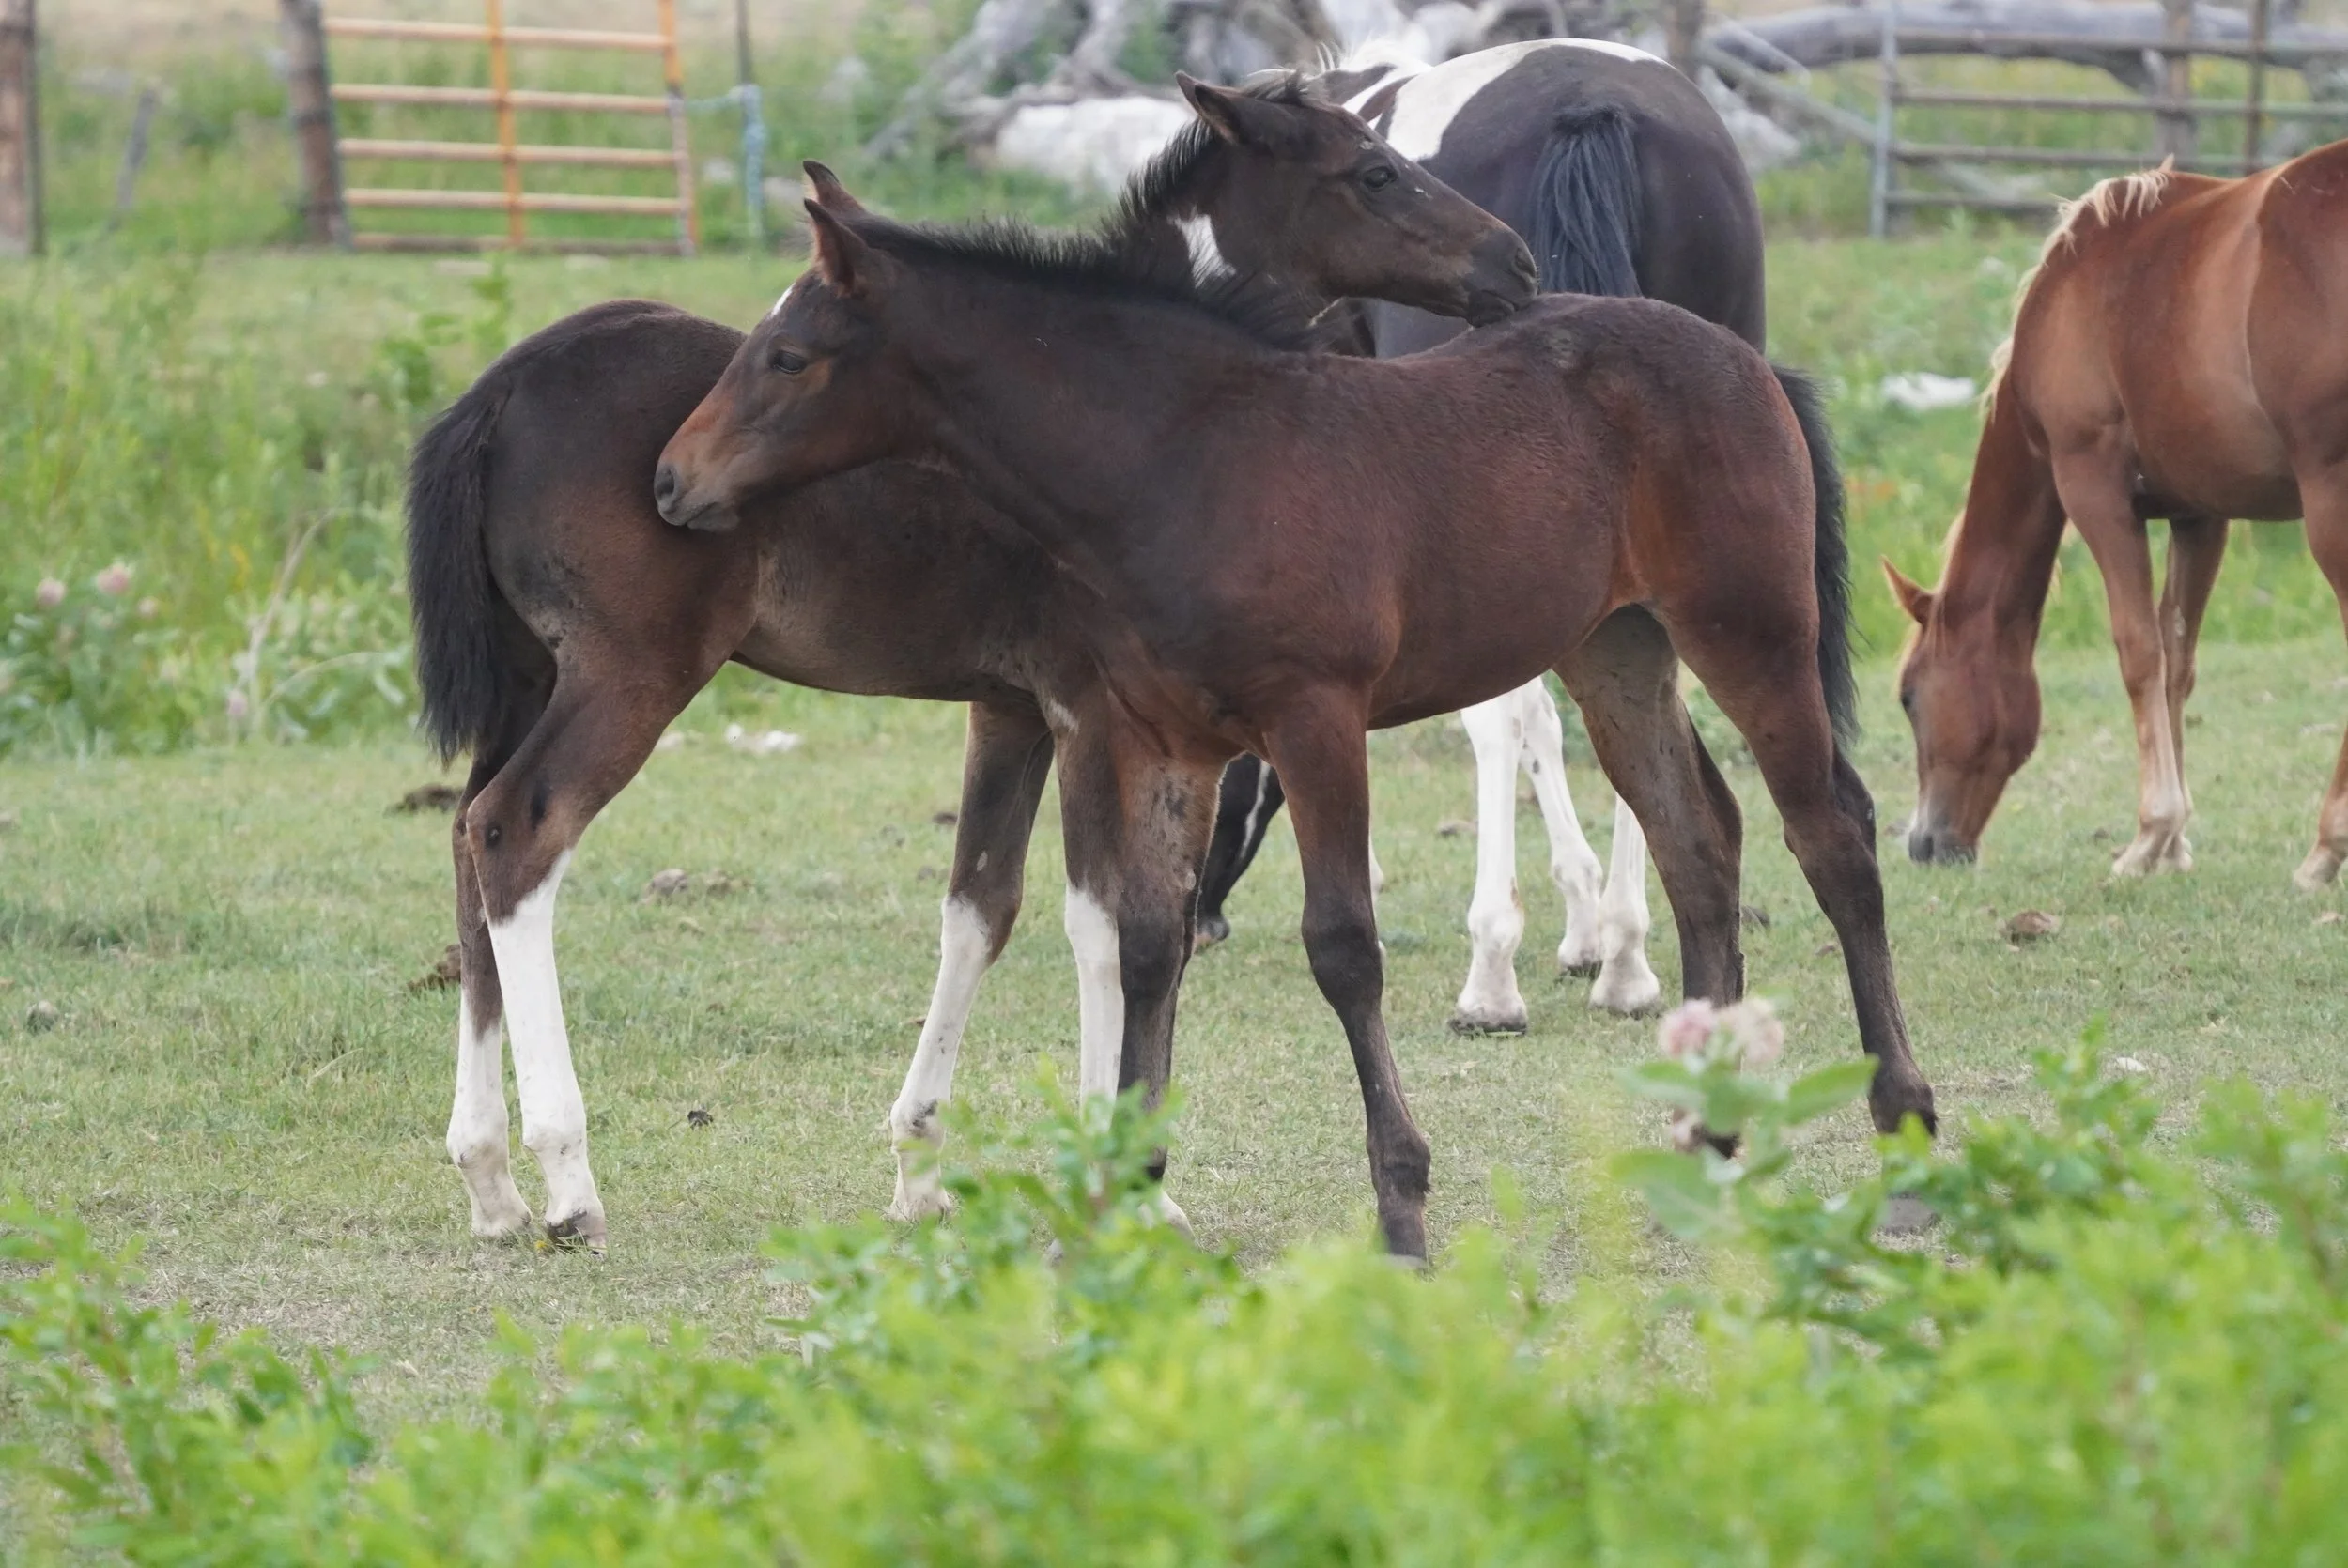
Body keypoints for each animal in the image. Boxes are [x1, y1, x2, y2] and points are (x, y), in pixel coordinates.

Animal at [408, 77, 1535, 1251]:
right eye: (1375, 171)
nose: (1513, 262)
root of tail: (508, 382)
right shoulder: (1095, 713)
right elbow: (1111, 922)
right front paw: (1129, 1171)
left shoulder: (1012, 710)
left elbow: (982, 907)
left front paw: (923, 1166)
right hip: (628, 676)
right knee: (519, 832)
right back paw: (565, 1174)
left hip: (531, 679)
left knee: (467, 837)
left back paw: (488, 1176)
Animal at [656, 185, 1937, 1258]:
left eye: (787, 354)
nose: (671, 481)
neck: (1186, 460)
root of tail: (1749, 360)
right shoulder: (1164, 741)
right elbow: (1147, 943)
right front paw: (1134, 1183)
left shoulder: (1314, 721)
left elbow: (1343, 947)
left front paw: (1402, 1203)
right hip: (1615, 649)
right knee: (1697, 838)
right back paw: (1706, 1142)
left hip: (1750, 630)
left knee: (1832, 835)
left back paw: (1905, 1131)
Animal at [1194, 37, 1776, 1038]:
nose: (1203, 917)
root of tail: (1592, 103)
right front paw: (1591, 930)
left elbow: (1516, 716)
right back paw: (1628, 960)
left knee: (1504, 715)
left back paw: (1495, 978)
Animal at [1886, 145, 2348, 888]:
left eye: (1908, 695)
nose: (1925, 844)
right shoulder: (2199, 516)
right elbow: (2177, 659)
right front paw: (2175, 847)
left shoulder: (2094, 489)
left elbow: (2138, 651)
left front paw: (2148, 836)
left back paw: (2326, 848)